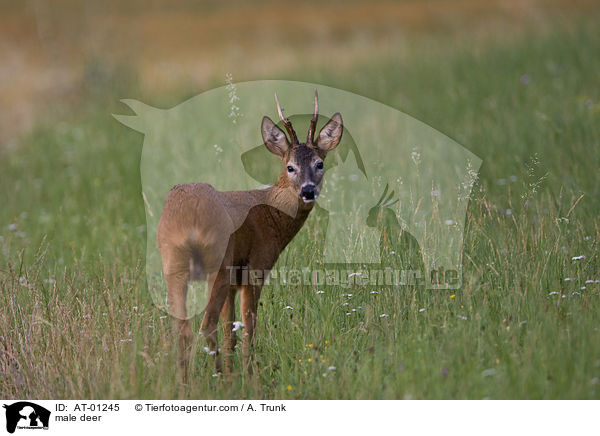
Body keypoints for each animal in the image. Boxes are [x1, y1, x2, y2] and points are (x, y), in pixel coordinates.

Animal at [155, 90, 342, 376]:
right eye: (290, 167)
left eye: (319, 163)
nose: (308, 190)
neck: (270, 210)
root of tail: (190, 216)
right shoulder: (256, 267)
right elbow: (248, 329)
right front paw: (248, 374)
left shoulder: (234, 281)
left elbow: (231, 332)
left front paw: (235, 373)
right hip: (217, 264)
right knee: (206, 326)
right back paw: (218, 376)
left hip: (173, 263)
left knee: (183, 330)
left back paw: (187, 381)